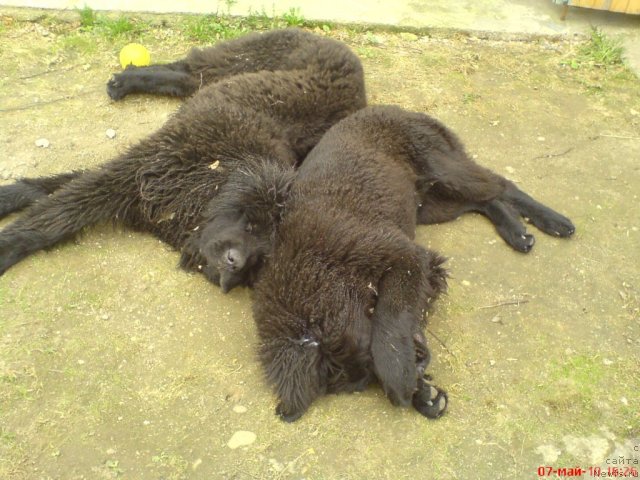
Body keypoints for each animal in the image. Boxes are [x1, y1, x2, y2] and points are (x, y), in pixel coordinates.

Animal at [0, 30, 364, 290]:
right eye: (250, 225)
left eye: (261, 258)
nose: (235, 262)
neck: (214, 172)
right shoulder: (134, 171)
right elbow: (58, 212)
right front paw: (9, 241)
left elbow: (59, 190)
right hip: (233, 61)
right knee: (186, 69)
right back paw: (126, 80)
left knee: (182, 78)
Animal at [246, 105, 576, 420]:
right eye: (365, 379)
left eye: (367, 349)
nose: (420, 360)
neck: (318, 262)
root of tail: (401, 110)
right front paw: (425, 396)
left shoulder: (405, 258)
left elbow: (390, 322)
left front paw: (401, 383)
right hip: (432, 204)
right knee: (485, 201)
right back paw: (517, 232)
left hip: (445, 169)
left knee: (501, 185)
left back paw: (555, 222)